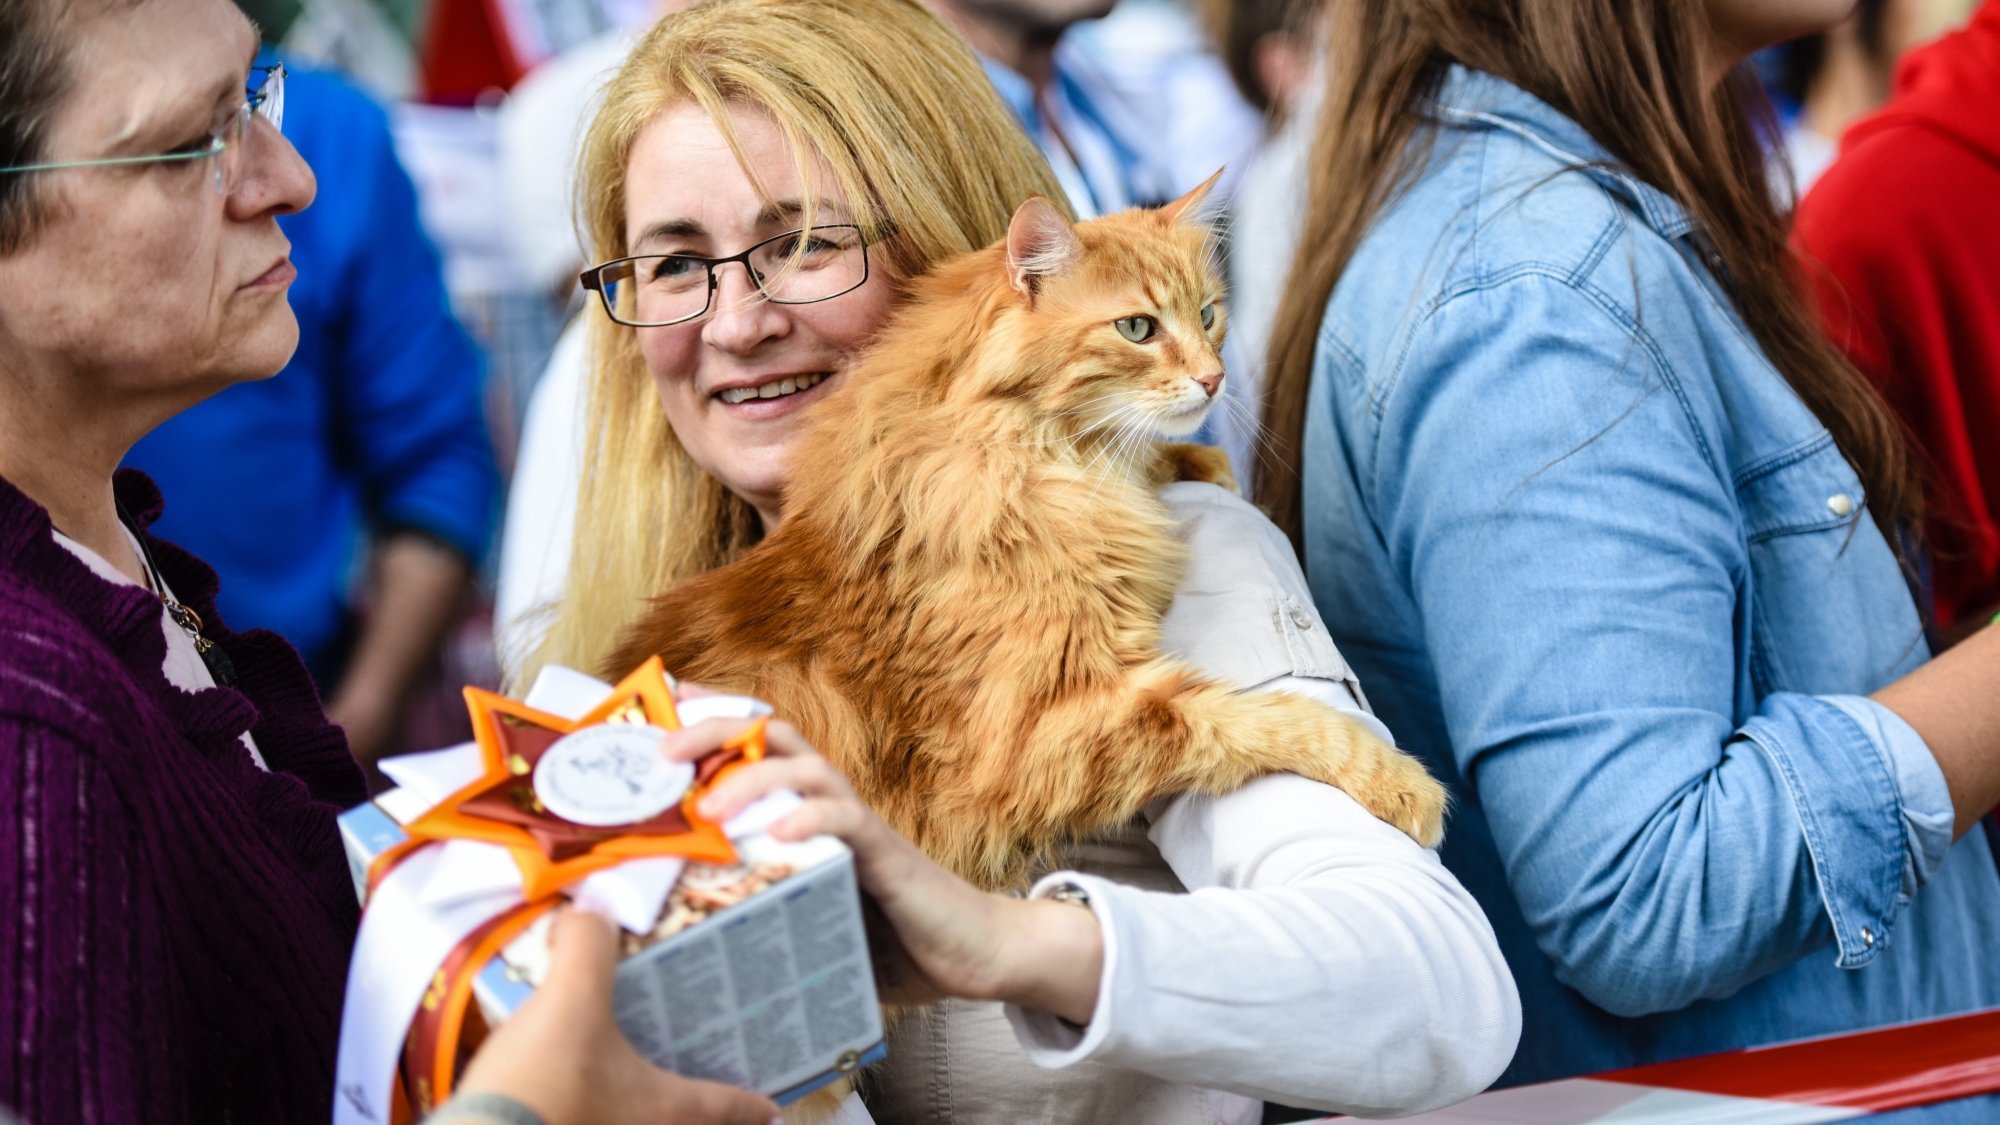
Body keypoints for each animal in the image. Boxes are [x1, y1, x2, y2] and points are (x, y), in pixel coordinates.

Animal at [608, 182, 1440, 884]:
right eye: (1138, 328)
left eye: (1208, 314)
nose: (1215, 378)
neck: (1030, 456)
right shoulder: (1049, 725)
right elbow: (1274, 720)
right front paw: (1406, 785)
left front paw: (1196, 460)